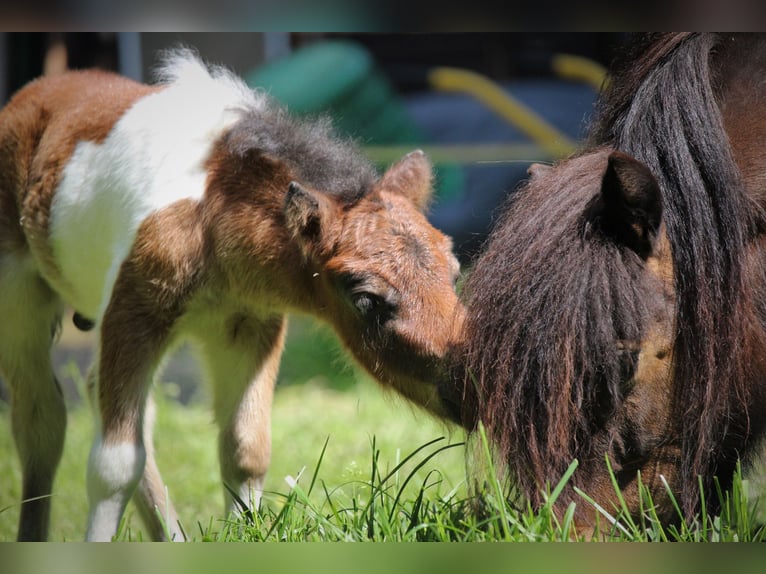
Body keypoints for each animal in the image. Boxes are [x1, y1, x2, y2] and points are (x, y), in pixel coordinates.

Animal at [0, 51, 464, 544]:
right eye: (365, 299)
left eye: (454, 272)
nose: (469, 383)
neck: (212, 219)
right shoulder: (134, 311)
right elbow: (114, 465)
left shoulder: (250, 323)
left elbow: (246, 449)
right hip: (19, 301)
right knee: (42, 421)